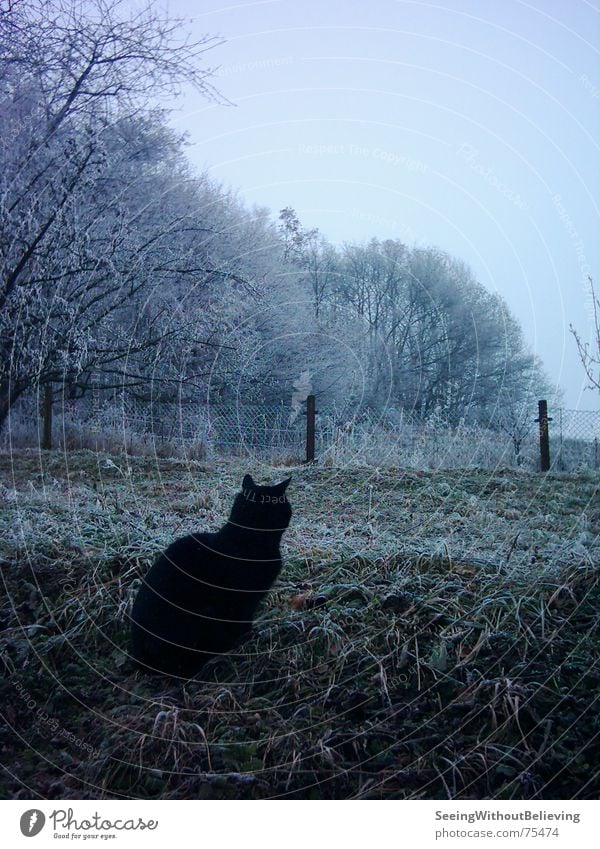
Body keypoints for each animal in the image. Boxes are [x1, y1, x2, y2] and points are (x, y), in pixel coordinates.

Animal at [129, 474, 292, 680]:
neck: (246, 538)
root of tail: (138, 659)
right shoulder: (241, 601)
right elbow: (242, 621)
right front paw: (247, 637)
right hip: (205, 614)